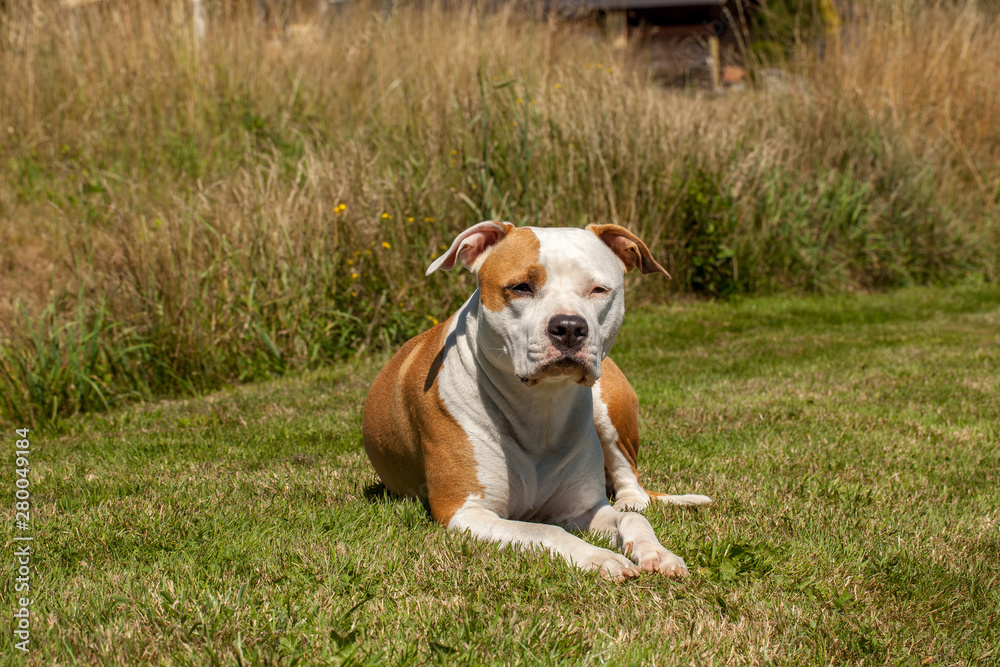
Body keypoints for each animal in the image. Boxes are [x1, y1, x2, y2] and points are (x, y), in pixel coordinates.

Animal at [362, 223, 712, 580]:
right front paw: (600, 557)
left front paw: (656, 551)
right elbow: (544, 530)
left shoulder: (583, 509)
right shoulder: (466, 512)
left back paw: (631, 500)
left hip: (609, 407)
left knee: (631, 483)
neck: (540, 405)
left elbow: (631, 519)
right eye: (521, 287)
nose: (569, 326)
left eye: (599, 289)